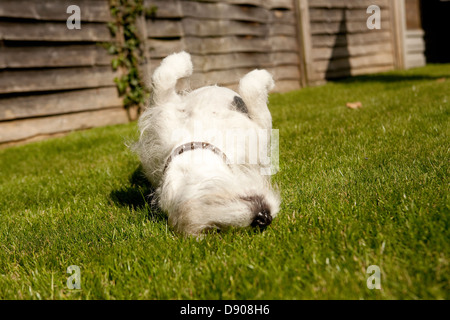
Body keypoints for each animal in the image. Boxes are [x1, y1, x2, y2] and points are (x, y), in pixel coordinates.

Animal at [135, 52, 280, 235]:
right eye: (216, 230)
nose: (264, 219)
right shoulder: (260, 128)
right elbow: (252, 90)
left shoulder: (164, 114)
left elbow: (161, 78)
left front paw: (182, 60)